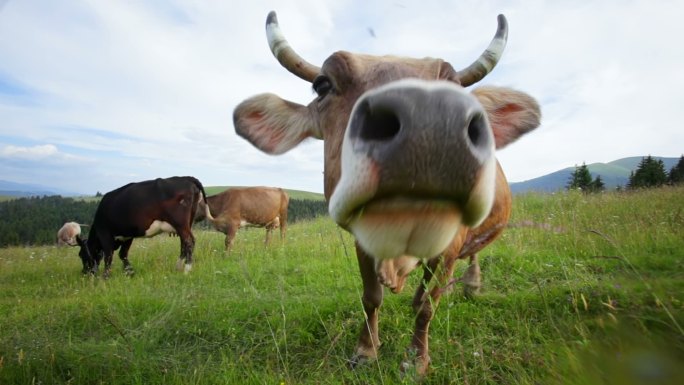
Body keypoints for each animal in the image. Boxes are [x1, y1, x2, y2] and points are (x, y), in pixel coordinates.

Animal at [77, 176, 214, 278]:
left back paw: (187, 269)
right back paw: (179, 266)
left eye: (81, 254)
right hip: (186, 223)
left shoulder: (105, 233)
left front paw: (105, 277)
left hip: (180, 222)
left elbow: (108, 256)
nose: (84, 273)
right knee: (184, 243)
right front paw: (130, 272)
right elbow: (123, 254)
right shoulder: (128, 235)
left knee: (189, 241)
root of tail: (187, 178)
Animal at [232, 12, 544, 376]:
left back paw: (472, 284)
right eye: (323, 84)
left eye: (455, 87)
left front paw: (417, 358)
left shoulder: (451, 246)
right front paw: (366, 350)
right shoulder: (362, 241)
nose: (427, 120)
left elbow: (429, 305)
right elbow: (372, 297)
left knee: (470, 258)